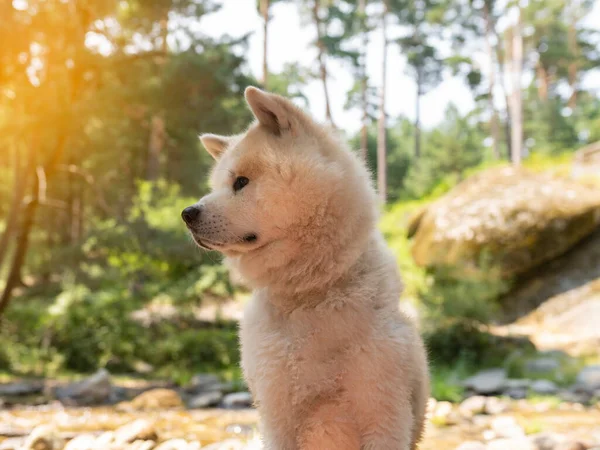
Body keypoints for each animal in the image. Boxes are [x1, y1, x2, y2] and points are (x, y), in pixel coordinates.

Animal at [184, 86, 432, 448]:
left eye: (241, 182)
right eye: (217, 186)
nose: (187, 213)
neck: (310, 292)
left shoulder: (383, 413)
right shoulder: (278, 415)